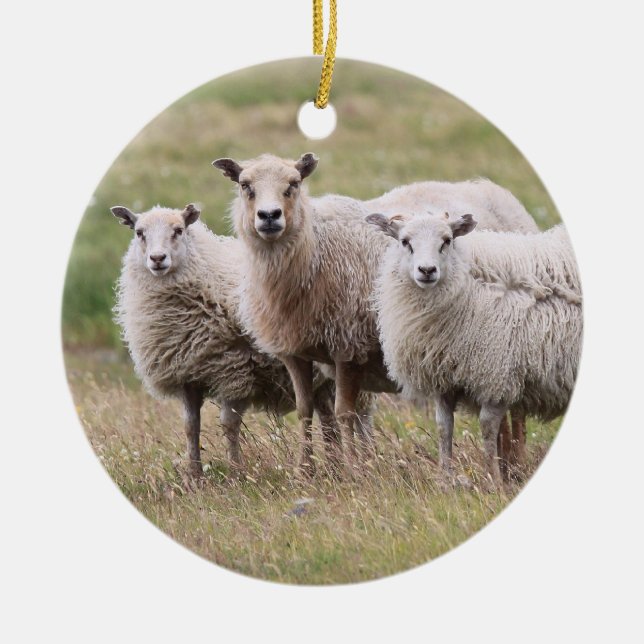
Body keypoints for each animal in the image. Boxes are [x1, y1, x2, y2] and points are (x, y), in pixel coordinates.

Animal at [111, 203, 345, 478]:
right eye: (139, 232)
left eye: (178, 230)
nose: (157, 259)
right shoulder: (187, 374)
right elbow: (190, 426)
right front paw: (195, 476)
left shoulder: (234, 371)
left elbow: (229, 425)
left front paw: (236, 473)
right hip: (320, 378)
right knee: (328, 417)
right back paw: (334, 467)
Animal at [212, 153, 539, 473]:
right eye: (245, 185)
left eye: (293, 184)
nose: (269, 216)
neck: (315, 250)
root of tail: (494, 191)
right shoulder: (295, 351)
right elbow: (305, 410)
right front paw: (304, 471)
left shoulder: (347, 345)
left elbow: (345, 412)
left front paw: (352, 470)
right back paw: (506, 462)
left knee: (517, 409)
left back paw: (515, 462)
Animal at [367, 211, 582, 484]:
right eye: (405, 241)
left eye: (447, 240)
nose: (427, 270)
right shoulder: (444, 379)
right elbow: (443, 426)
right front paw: (445, 480)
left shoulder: (497, 375)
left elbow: (487, 427)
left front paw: (493, 480)